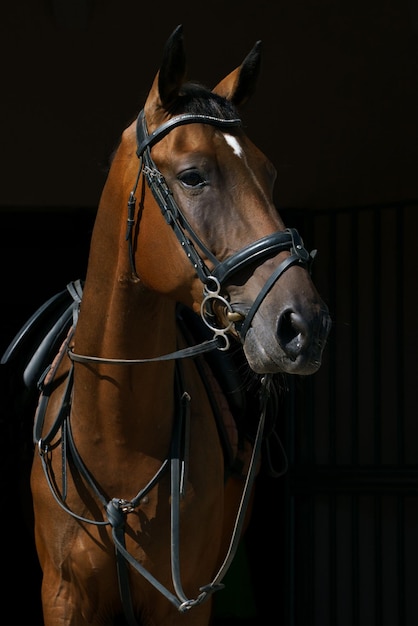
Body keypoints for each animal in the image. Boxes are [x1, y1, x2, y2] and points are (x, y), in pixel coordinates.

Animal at [28, 24, 330, 624]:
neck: (115, 435)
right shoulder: (63, 597)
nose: (304, 325)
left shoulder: (184, 603)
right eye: (192, 176)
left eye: (269, 173)